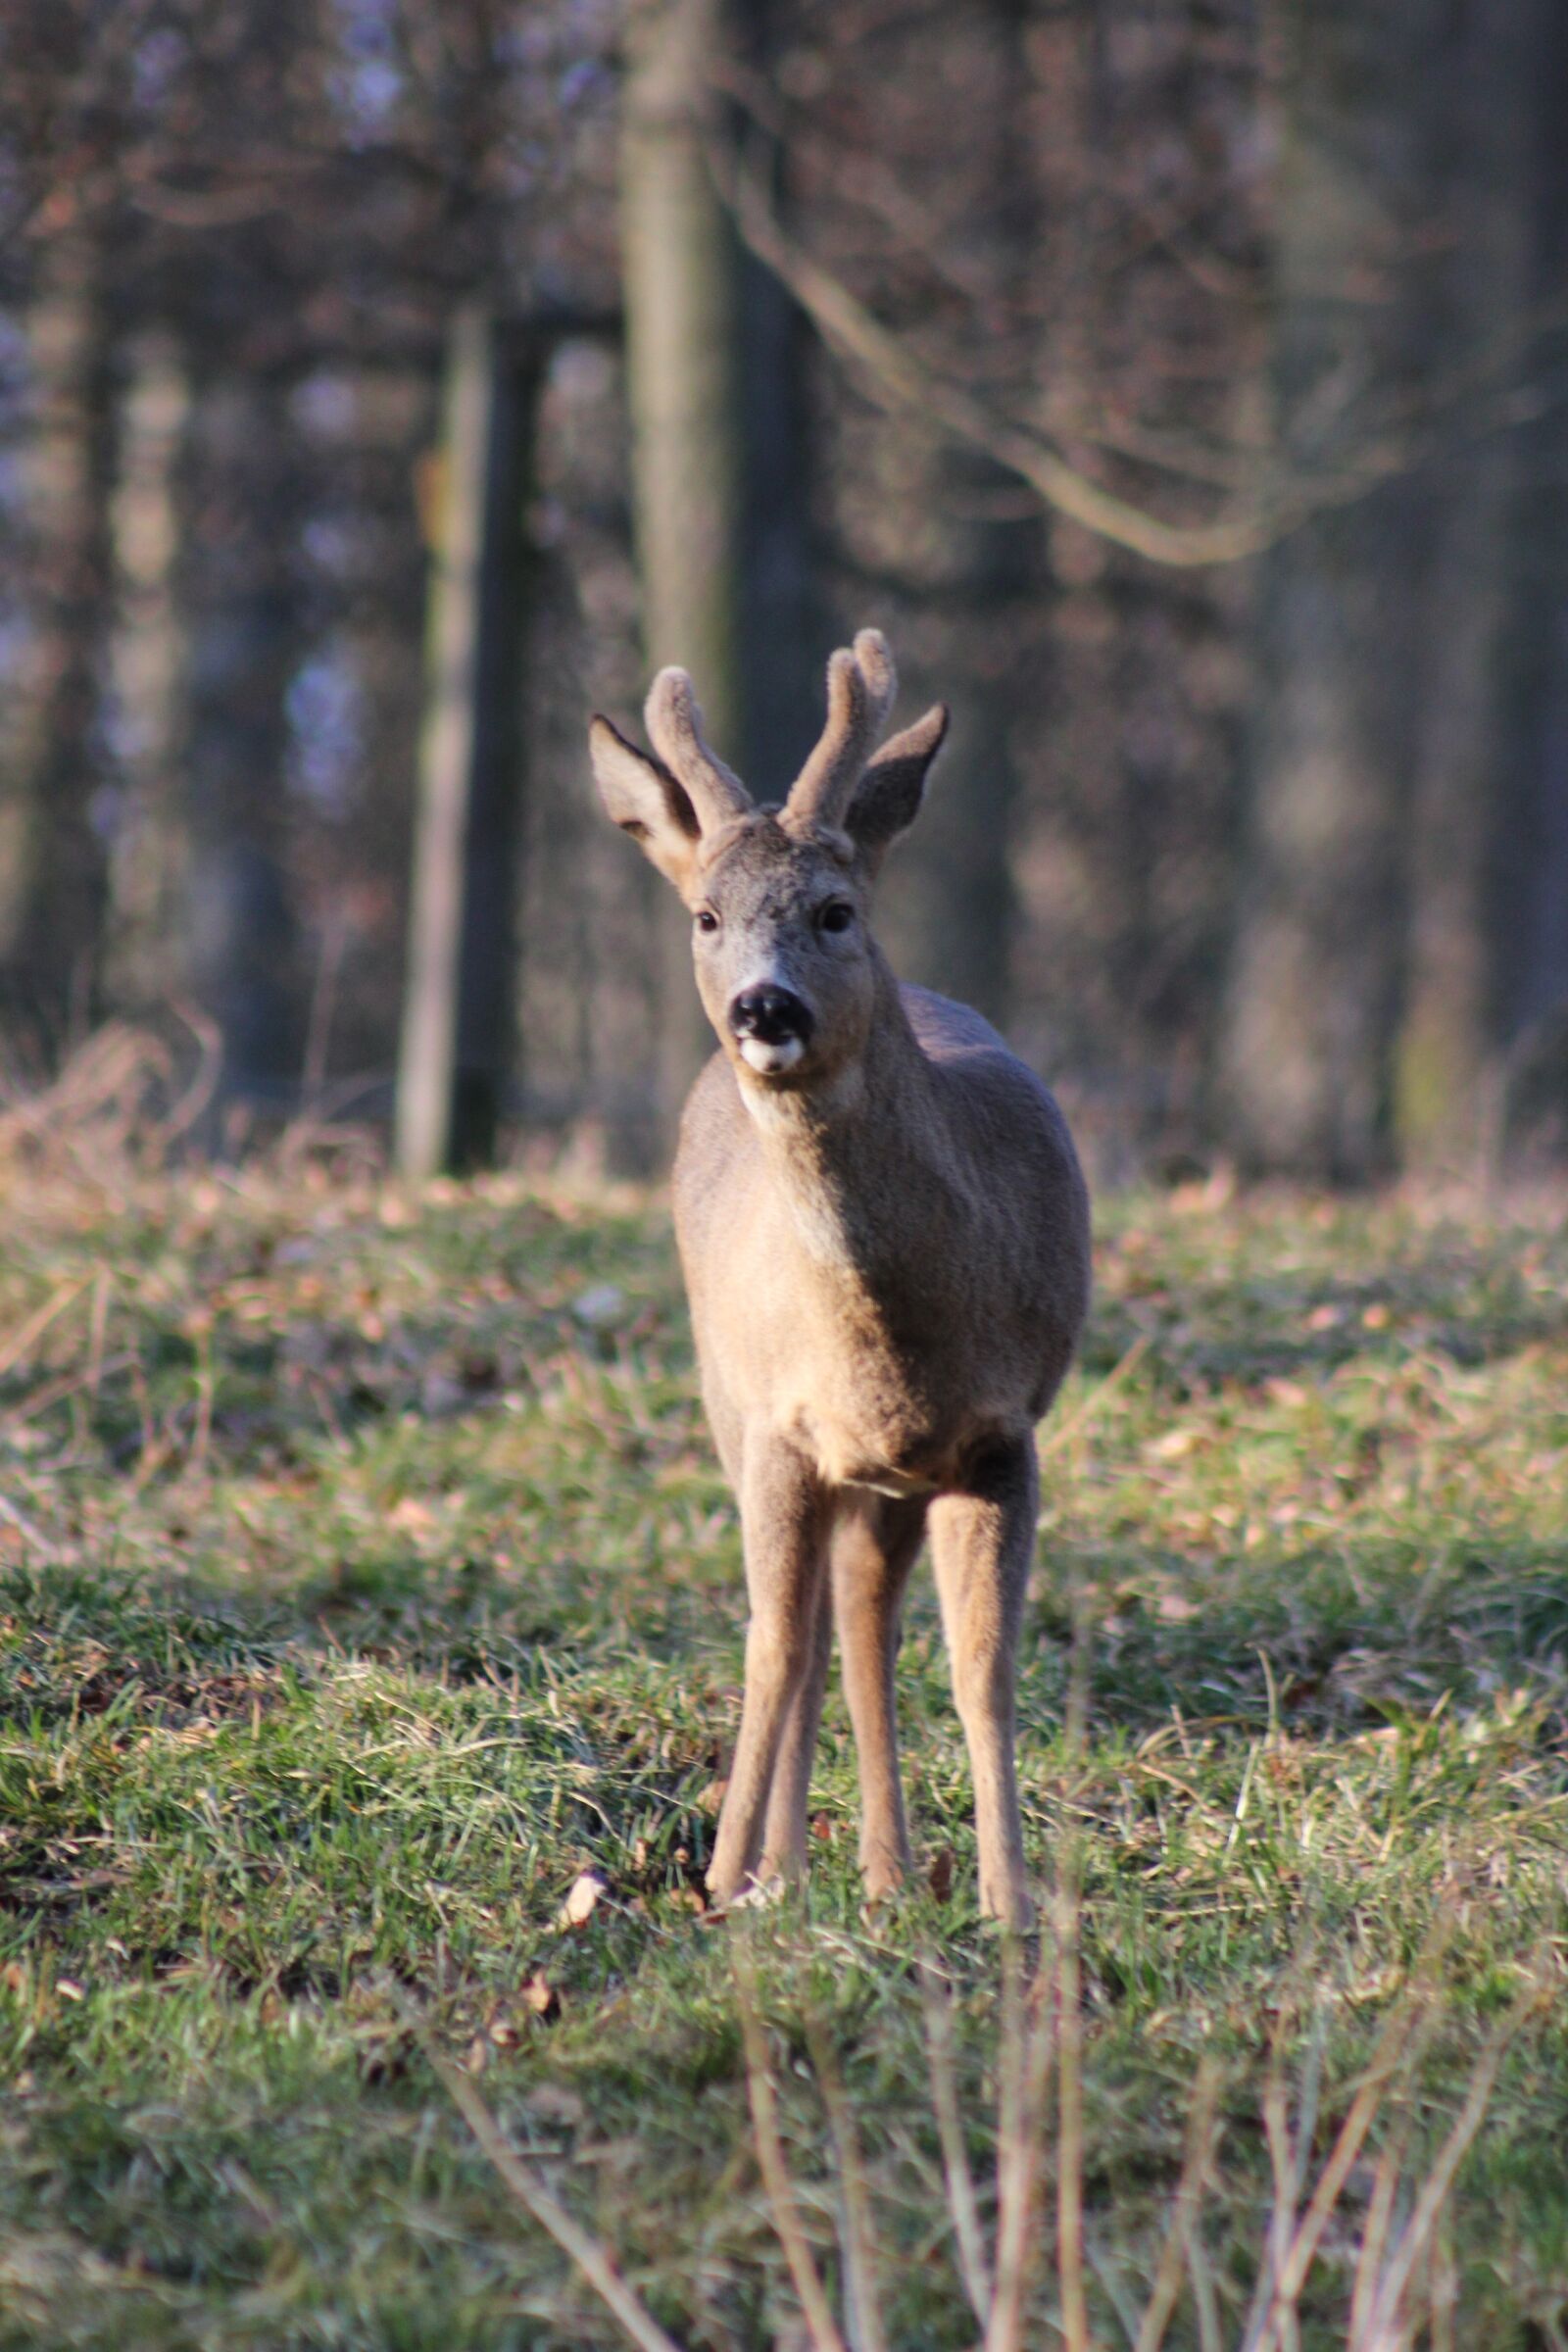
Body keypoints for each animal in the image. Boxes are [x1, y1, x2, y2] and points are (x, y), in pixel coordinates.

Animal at [588, 629, 1090, 1927]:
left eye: (835, 909)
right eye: (705, 915)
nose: (764, 1007)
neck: (891, 1338)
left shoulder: (998, 1434)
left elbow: (980, 1667)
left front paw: (1008, 1902)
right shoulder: (775, 1423)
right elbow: (772, 1643)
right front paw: (720, 1878)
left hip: (884, 1478)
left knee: (861, 1620)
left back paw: (879, 1869)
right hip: (726, 1399)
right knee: (814, 1628)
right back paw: (783, 1868)